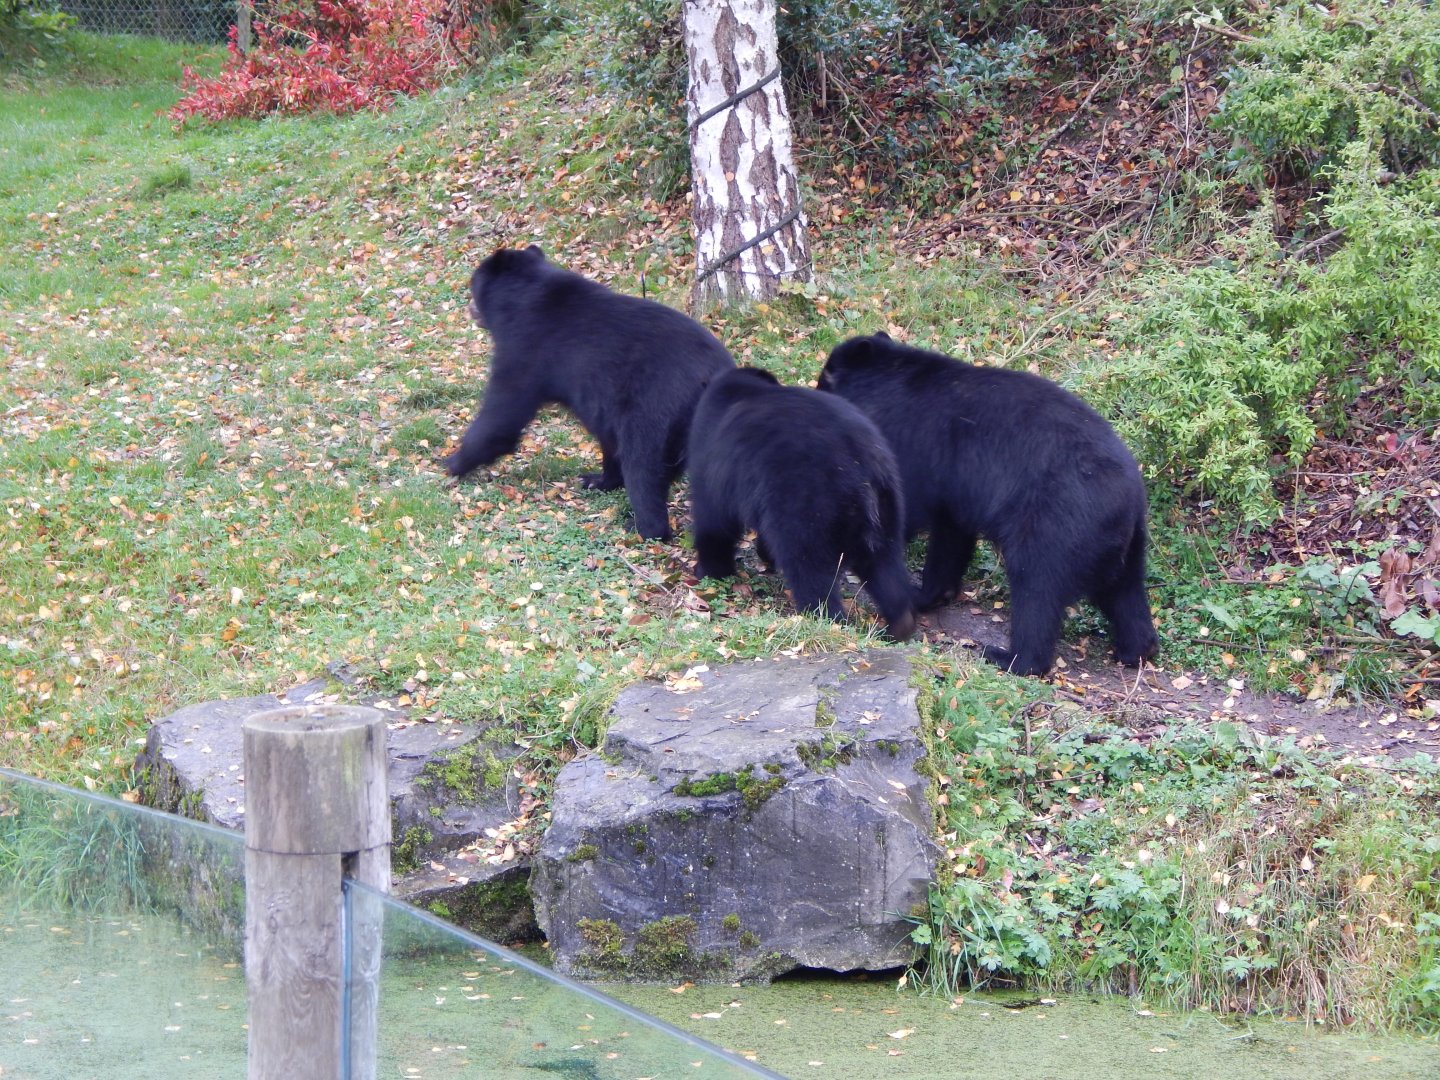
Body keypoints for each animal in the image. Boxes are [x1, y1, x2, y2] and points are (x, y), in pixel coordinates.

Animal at [445, 245, 735, 540]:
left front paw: (453, 462)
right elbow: (607, 438)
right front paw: (598, 479)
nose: (469, 309)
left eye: (473, 284)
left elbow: (503, 412)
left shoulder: (526, 349)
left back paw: (642, 527)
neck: (519, 299)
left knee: (643, 463)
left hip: (656, 405)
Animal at [687, 366, 916, 641]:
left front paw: (709, 571)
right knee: (885, 565)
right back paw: (899, 624)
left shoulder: (715, 461)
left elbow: (713, 521)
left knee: (809, 568)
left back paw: (822, 618)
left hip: (808, 505)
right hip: (887, 506)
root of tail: (863, 471)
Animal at [817, 332, 1157, 675]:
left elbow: (903, 511)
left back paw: (1009, 657)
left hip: (1056, 525)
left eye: (823, 381)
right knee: (1125, 592)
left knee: (1037, 591)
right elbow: (950, 537)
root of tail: (1127, 500)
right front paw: (927, 594)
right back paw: (1136, 650)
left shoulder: (915, 445)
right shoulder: (957, 491)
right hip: (1124, 544)